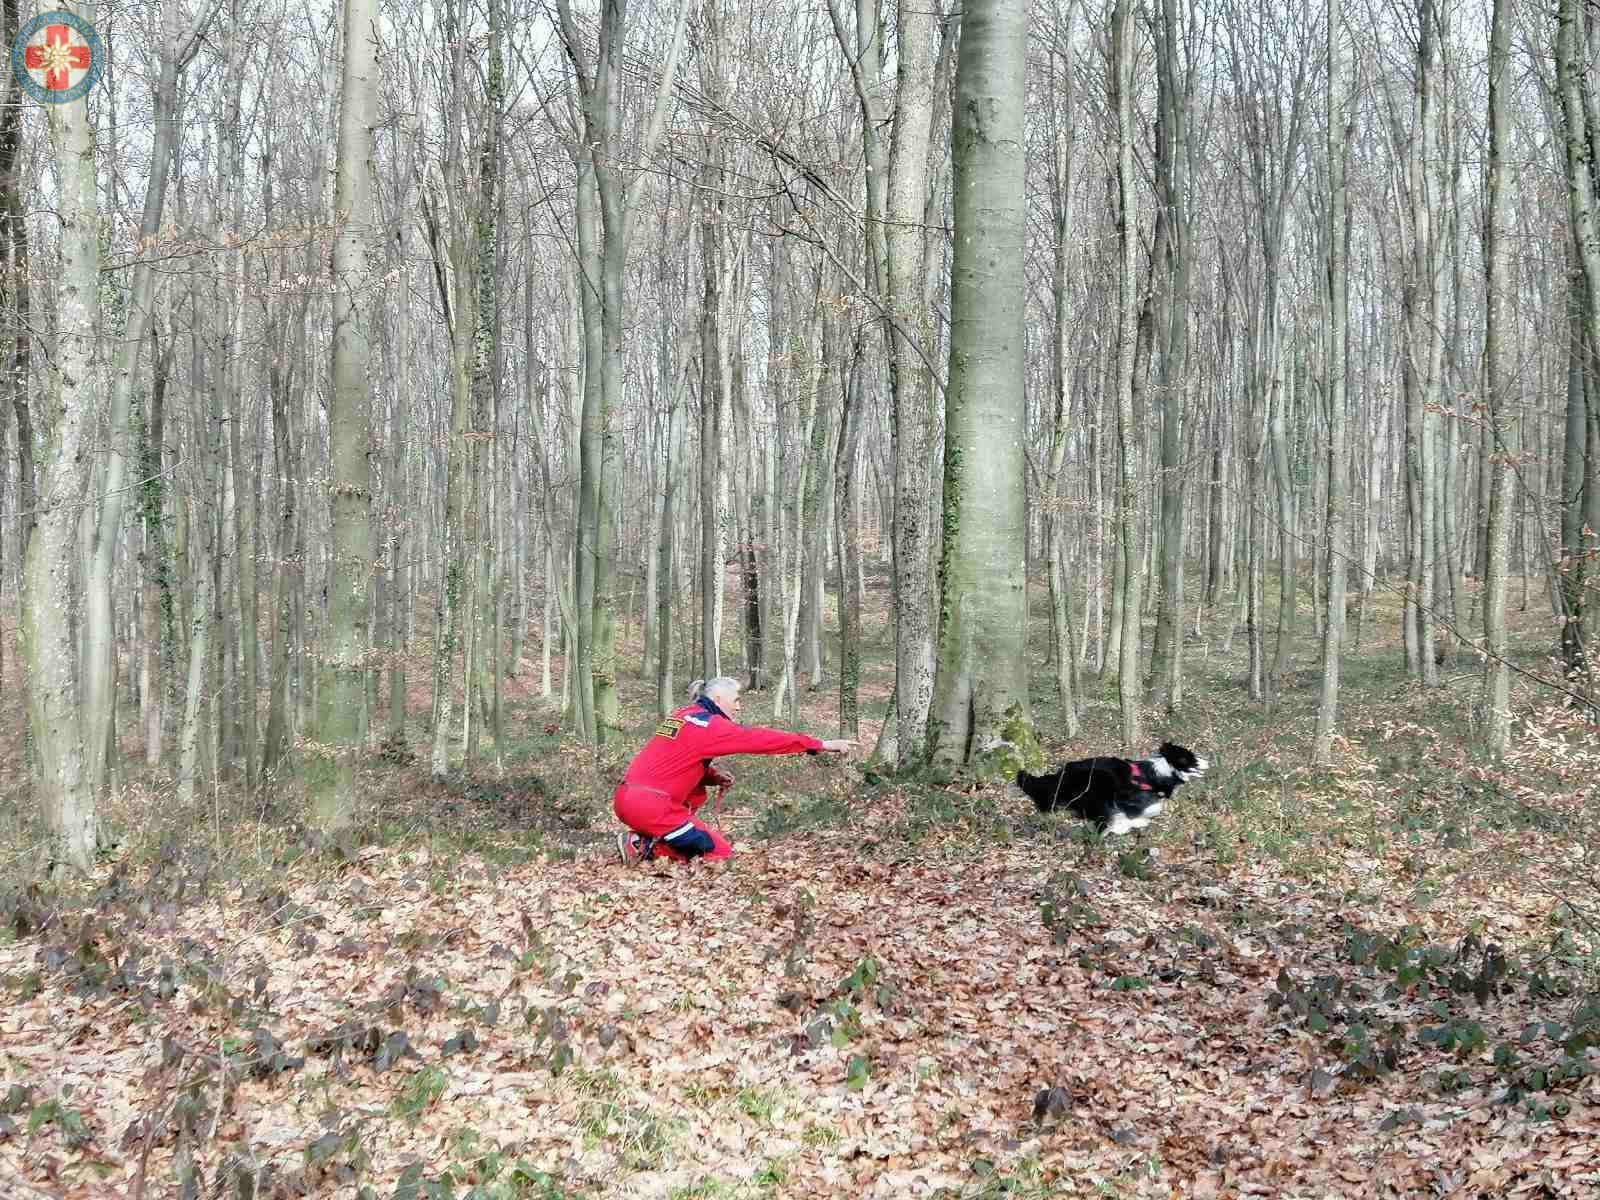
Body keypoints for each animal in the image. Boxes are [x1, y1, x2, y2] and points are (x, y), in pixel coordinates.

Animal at [1017, 742, 1203, 838]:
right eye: (1192, 758)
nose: (1206, 759)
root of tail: (1060, 775)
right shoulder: (1126, 796)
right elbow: (1149, 808)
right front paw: (1134, 822)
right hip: (1098, 784)